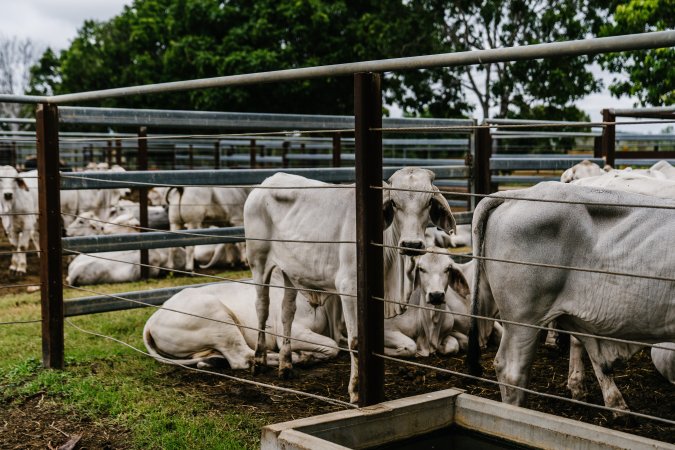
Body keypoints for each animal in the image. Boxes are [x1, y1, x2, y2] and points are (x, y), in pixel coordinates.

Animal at [243, 167, 454, 402]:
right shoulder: (349, 290)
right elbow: (355, 341)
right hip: (258, 262)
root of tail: (267, 182)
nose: (412, 244)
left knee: (287, 312)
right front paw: (355, 392)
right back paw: (259, 361)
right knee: (262, 307)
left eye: (428, 202)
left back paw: (286, 364)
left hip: (290, 272)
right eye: (394, 203)